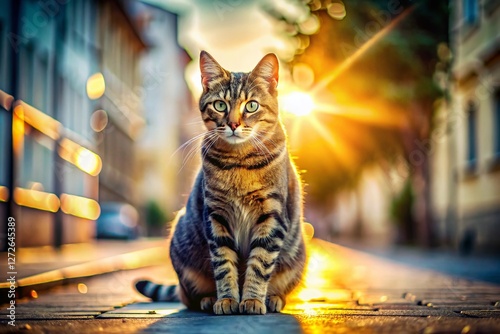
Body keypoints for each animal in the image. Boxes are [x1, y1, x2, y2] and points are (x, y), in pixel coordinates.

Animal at [138, 51, 308, 314]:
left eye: (251, 106)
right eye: (220, 105)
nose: (233, 124)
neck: (239, 162)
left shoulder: (272, 215)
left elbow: (259, 263)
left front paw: (252, 300)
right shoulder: (216, 216)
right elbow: (224, 263)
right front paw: (227, 299)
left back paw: (273, 298)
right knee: (188, 297)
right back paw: (208, 299)